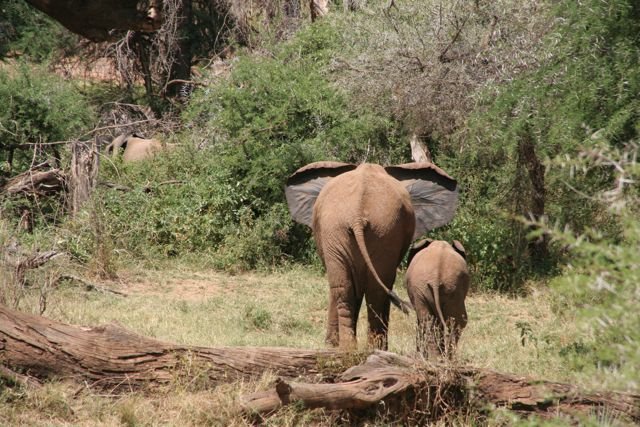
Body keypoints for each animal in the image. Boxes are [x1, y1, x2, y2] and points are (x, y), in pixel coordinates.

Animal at [286, 162, 460, 350]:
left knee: (353, 288)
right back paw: (362, 348)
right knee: (362, 289)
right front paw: (331, 345)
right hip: (359, 229)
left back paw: (357, 348)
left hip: (368, 229)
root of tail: (357, 214)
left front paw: (331, 345)